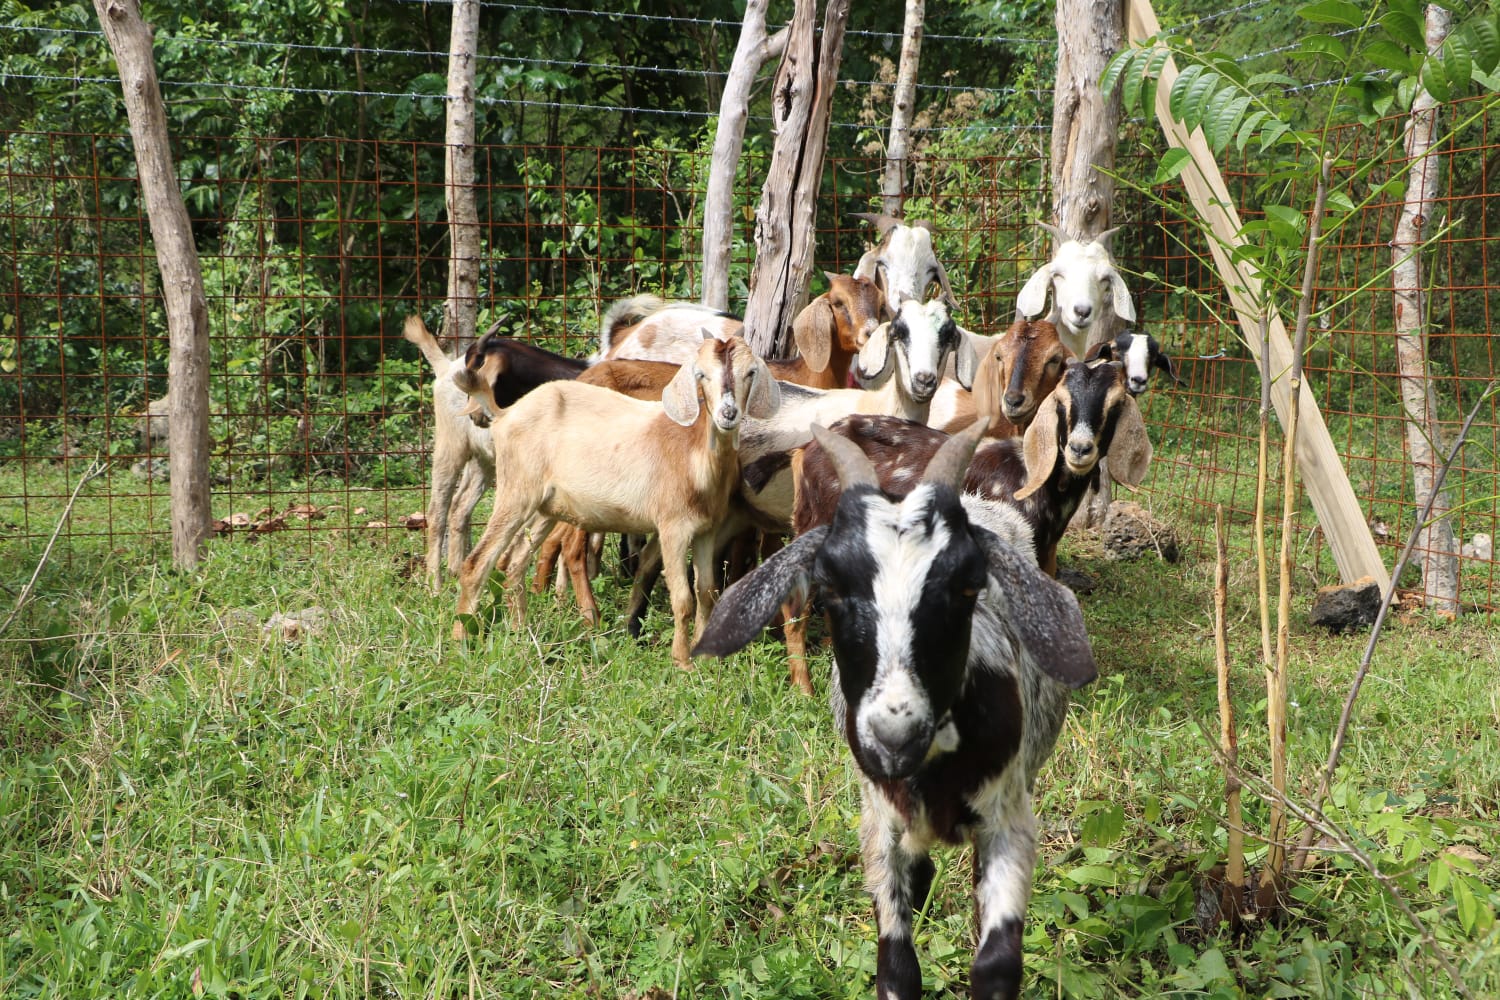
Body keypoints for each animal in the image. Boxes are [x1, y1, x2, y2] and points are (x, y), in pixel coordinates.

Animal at [408, 316, 588, 590]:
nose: (477, 415)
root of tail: (445, 368)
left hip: (484, 460)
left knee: (460, 506)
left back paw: (455, 571)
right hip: (450, 445)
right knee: (437, 510)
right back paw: (434, 585)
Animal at [687, 419, 1092, 1000]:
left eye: (969, 583)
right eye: (830, 585)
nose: (893, 735)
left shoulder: (1009, 818)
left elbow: (996, 965)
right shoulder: (879, 823)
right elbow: (897, 966)